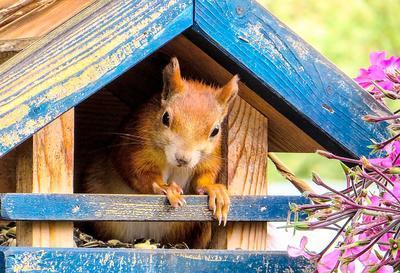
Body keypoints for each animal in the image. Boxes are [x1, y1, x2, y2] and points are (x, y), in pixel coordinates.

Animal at [82, 58, 238, 249]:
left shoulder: (210, 158)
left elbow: (203, 178)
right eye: (165, 117)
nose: (183, 159)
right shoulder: (136, 148)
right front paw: (165, 187)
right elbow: (140, 174)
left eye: (215, 130)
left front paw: (215, 190)